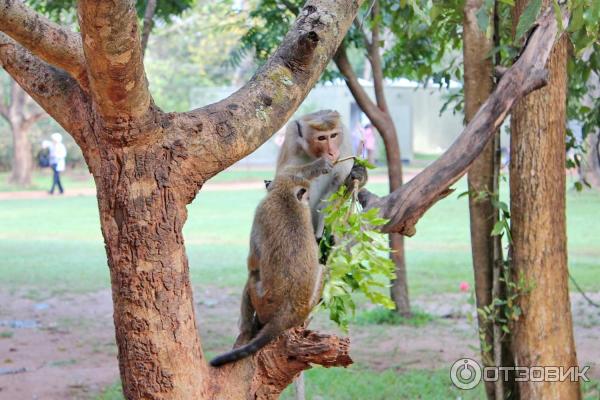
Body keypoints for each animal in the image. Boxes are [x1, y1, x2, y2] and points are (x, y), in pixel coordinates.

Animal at [210, 155, 332, 366]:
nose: (308, 199)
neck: (286, 196)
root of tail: (288, 313)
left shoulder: (261, 210)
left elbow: (252, 262)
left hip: (263, 301)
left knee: (252, 277)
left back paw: (245, 327)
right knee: (321, 268)